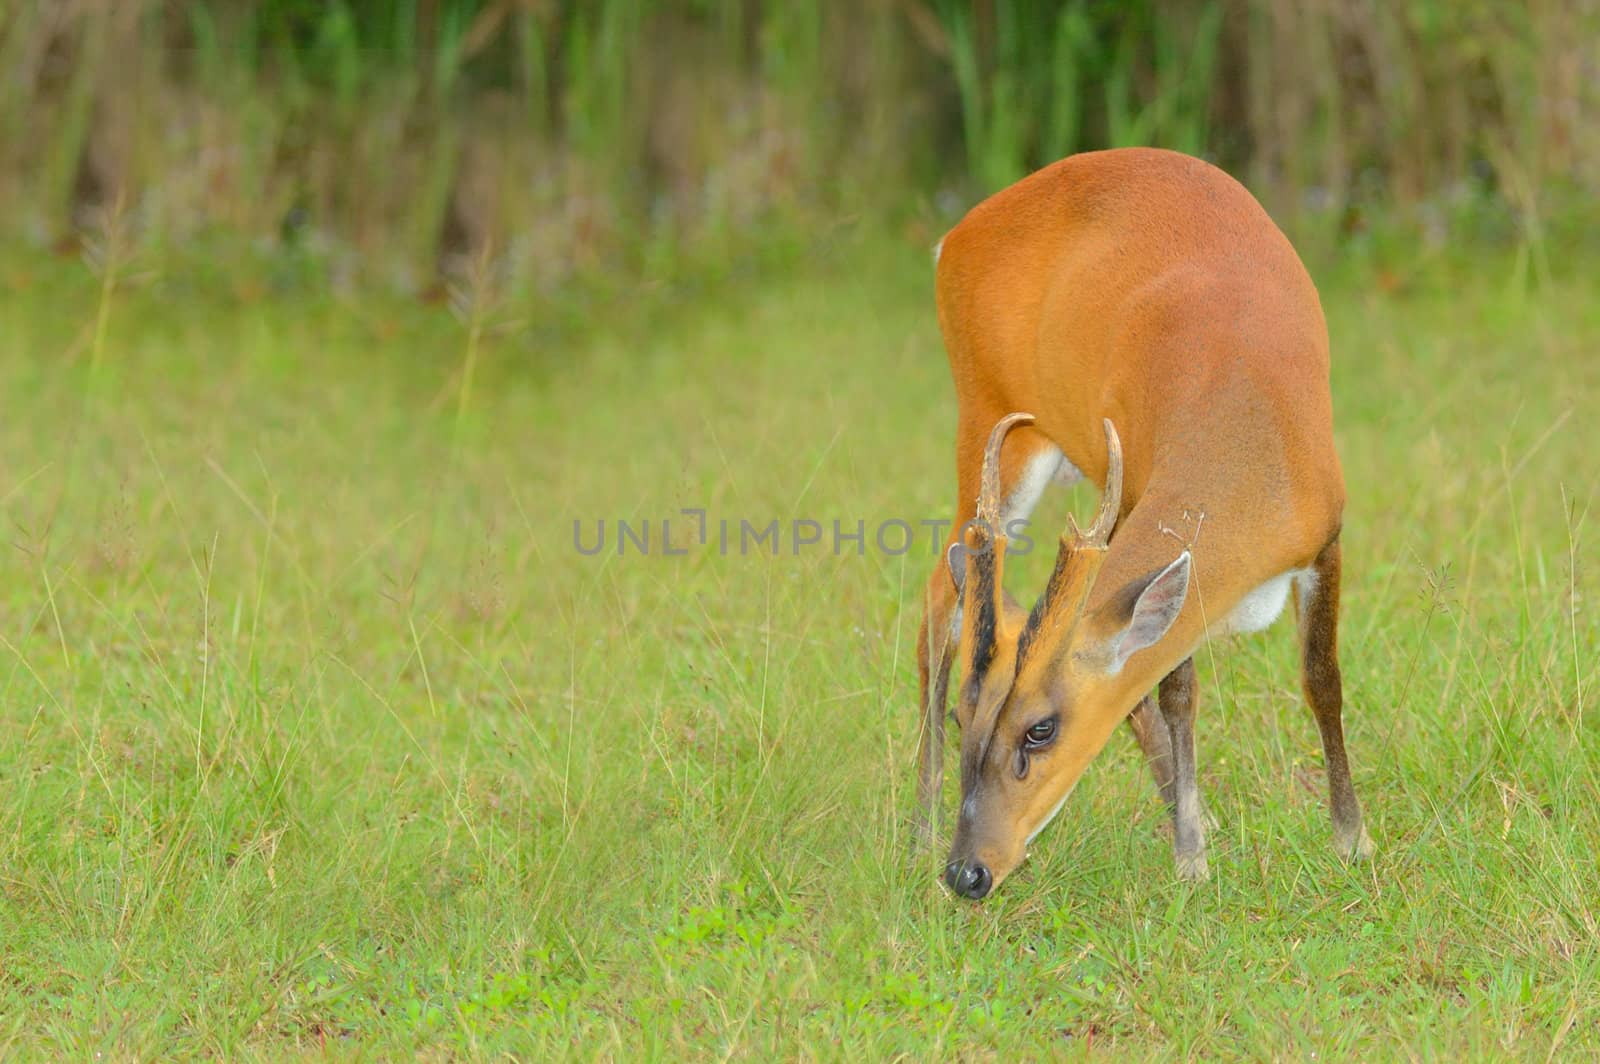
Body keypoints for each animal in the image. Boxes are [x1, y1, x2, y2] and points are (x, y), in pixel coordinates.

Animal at [915, 147, 1376, 896]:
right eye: (964, 715)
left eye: (1041, 729)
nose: (967, 873)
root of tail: (951, 239)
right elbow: (1179, 690)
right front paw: (1192, 856)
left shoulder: (1325, 537)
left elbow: (1321, 680)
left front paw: (1351, 840)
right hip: (989, 416)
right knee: (938, 598)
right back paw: (920, 826)